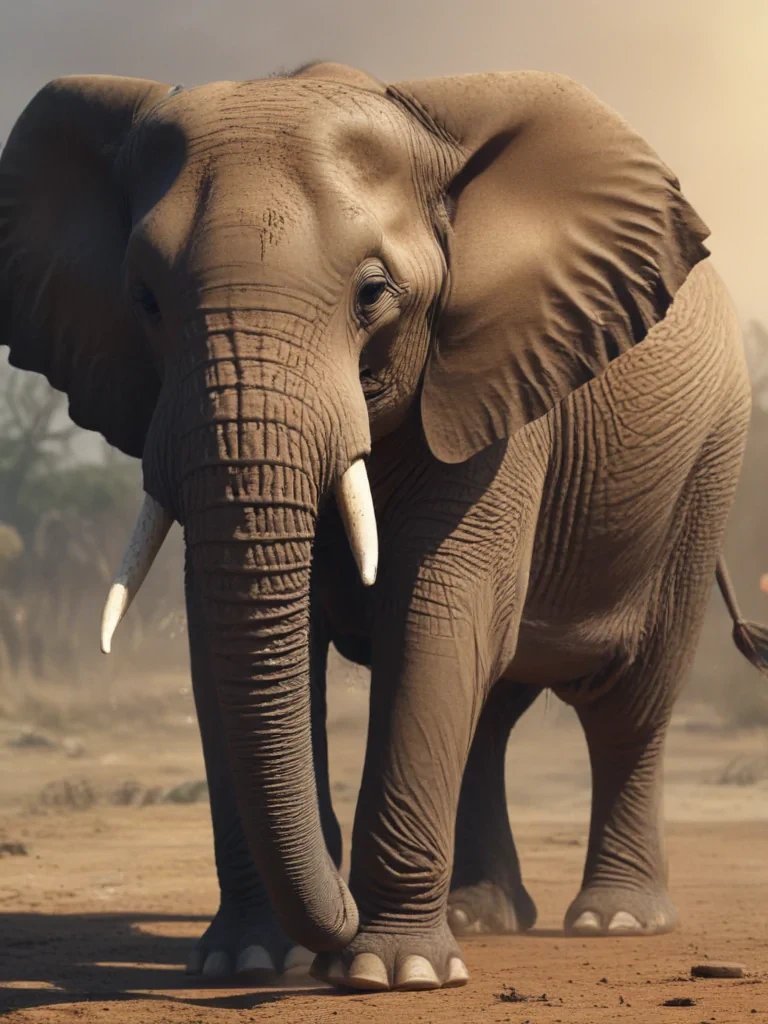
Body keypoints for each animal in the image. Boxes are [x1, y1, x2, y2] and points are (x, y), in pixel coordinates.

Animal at [1, 60, 766, 994]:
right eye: (143, 298)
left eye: (373, 295)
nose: (329, 924)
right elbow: (226, 644)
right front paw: (243, 961)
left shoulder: (498, 387)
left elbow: (434, 612)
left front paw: (386, 973)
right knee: (492, 708)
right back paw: (481, 916)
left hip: (707, 465)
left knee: (629, 703)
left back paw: (616, 921)